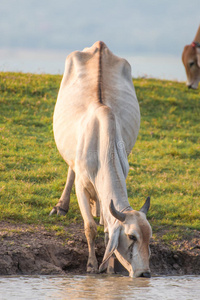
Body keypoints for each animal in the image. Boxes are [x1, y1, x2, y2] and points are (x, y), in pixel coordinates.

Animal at [50, 41, 152, 278]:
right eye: (132, 237)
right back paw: (61, 206)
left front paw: (110, 269)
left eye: (149, 237)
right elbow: (90, 227)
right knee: (70, 169)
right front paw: (91, 265)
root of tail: (99, 45)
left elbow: (107, 231)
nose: (145, 274)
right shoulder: (81, 185)